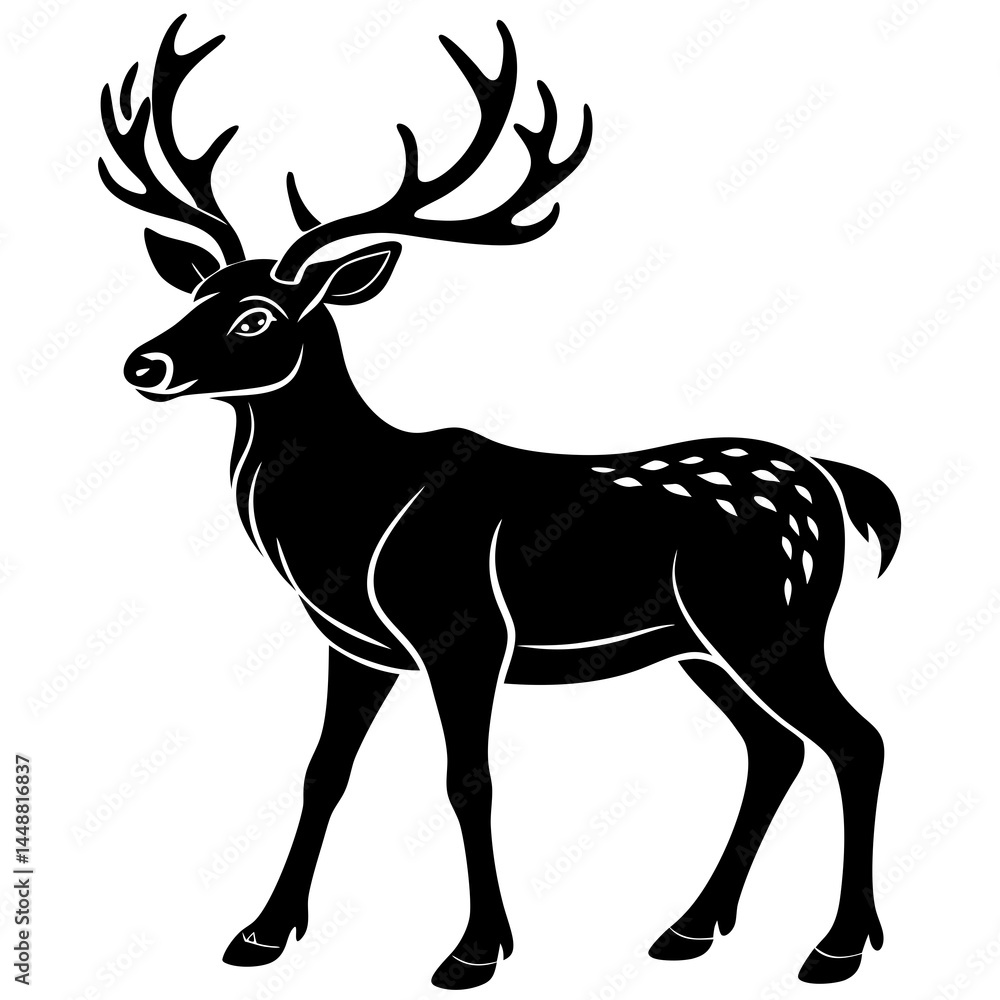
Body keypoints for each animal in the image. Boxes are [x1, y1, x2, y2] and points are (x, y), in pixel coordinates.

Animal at [100, 14, 901, 990]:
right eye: (198, 291)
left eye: (260, 317)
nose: (144, 362)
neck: (350, 522)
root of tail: (834, 481)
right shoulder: (356, 645)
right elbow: (323, 772)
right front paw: (260, 933)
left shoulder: (466, 629)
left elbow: (467, 780)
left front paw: (475, 951)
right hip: (704, 644)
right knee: (776, 747)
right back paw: (689, 929)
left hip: (768, 616)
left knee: (856, 740)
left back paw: (836, 947)